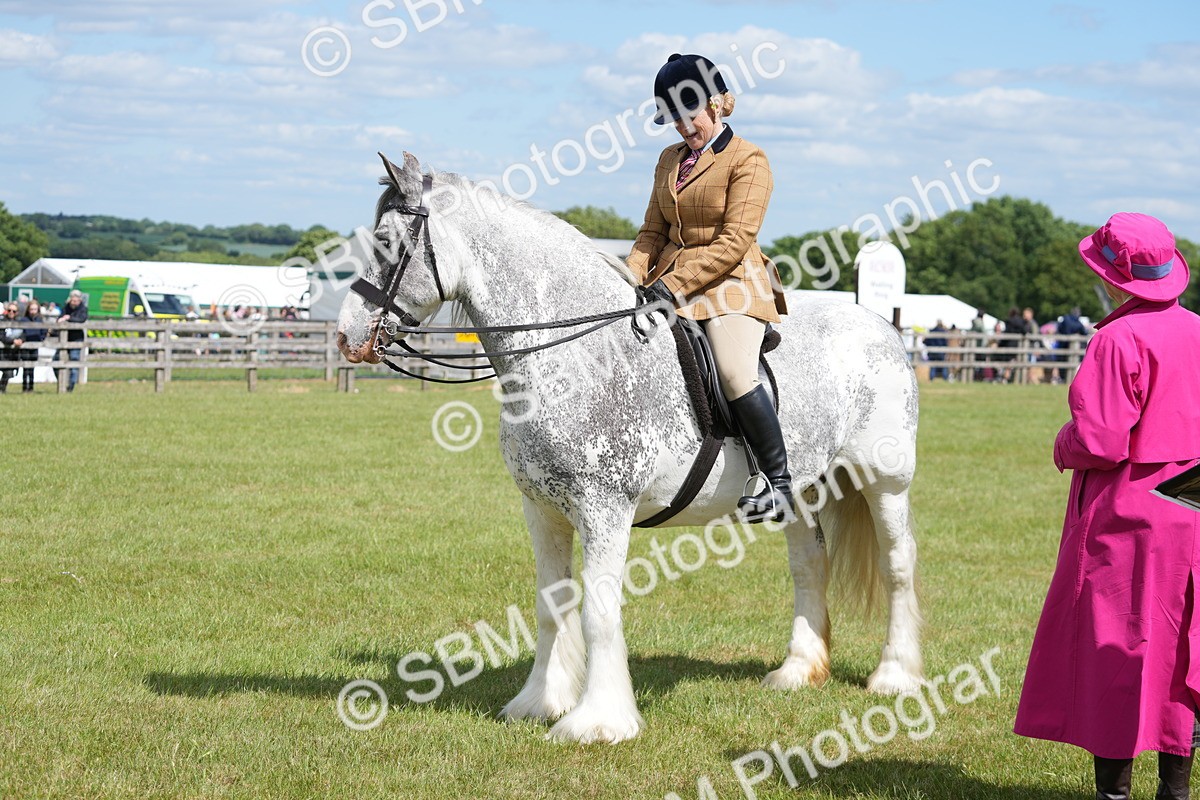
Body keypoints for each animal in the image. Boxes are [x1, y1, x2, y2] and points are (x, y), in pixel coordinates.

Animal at [337, 152, 923, 744]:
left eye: (385, 242)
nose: (345, 336)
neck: (575, 356)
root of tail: (881, 325)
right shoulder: (542, 510)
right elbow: (551, 606)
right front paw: (540, 702)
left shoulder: (604, 511)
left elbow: (598, 613)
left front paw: (597, 721)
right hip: (802, 490)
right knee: (809, 566)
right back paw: (797, 671)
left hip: (885, 482)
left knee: (898, 564)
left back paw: (895, 676)